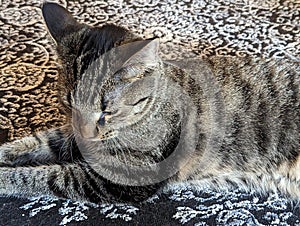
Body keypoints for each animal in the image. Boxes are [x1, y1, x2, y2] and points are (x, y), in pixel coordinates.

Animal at [0, 1, 298, 203]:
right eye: (68, 105)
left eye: (106, 112)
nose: (86, 133)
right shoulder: (74, 138)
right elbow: (41, 140)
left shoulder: (121, 178)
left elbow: (42, 176)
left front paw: (5, 178)